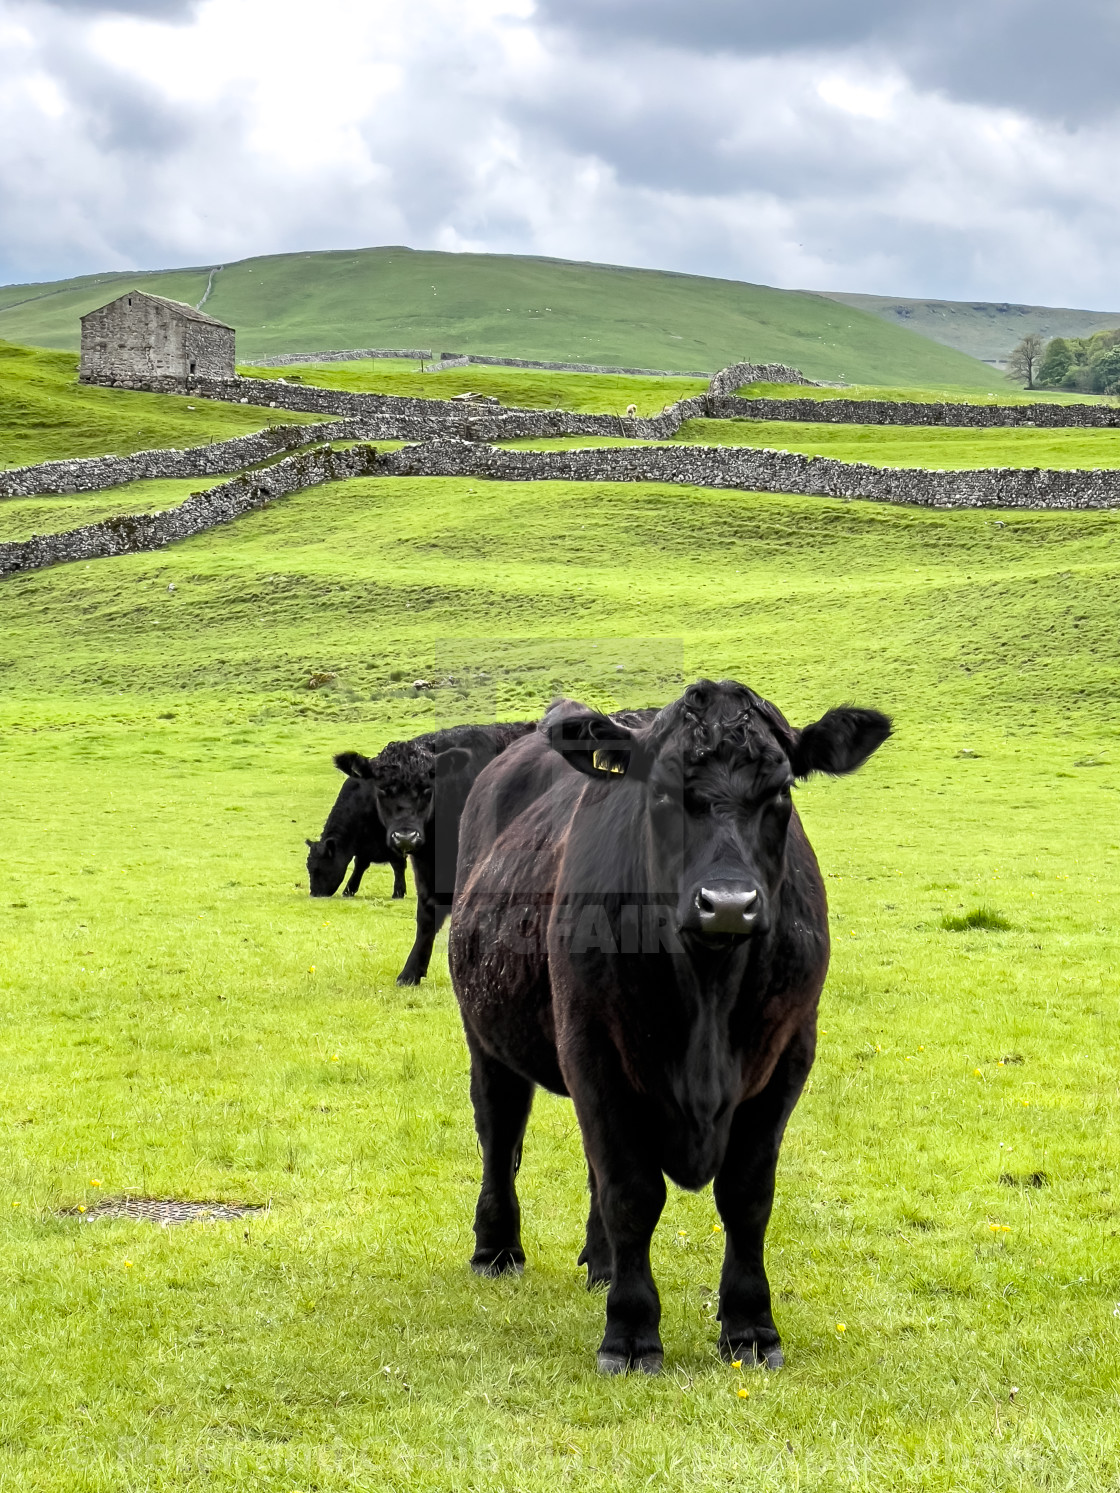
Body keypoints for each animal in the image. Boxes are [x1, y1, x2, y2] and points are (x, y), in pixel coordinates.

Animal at [304, 758, 409, 895]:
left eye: (318, 868)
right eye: (308, 867)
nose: (314, 894)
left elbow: (398, 864)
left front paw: (398, 892)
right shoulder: (363, 845)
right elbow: (360, 865)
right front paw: (349, 890)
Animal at [340, 725, 537, 991]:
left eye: (426, 788)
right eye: (382, 789)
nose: (406, 836)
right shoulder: (426, 872)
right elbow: (426, 917)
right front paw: (410, 973)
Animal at [450, 683, 896, 1367]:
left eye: (781, 791)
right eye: (660, 793)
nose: (729, 904)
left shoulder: (789, 1053)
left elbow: (746, 1195)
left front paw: (750, 1327)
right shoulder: (594, 1048)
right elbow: (632, 1192)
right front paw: (631, 1333)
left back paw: (601, 1262)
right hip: (488, 1035)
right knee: (501, 1131)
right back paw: (496, 1250)